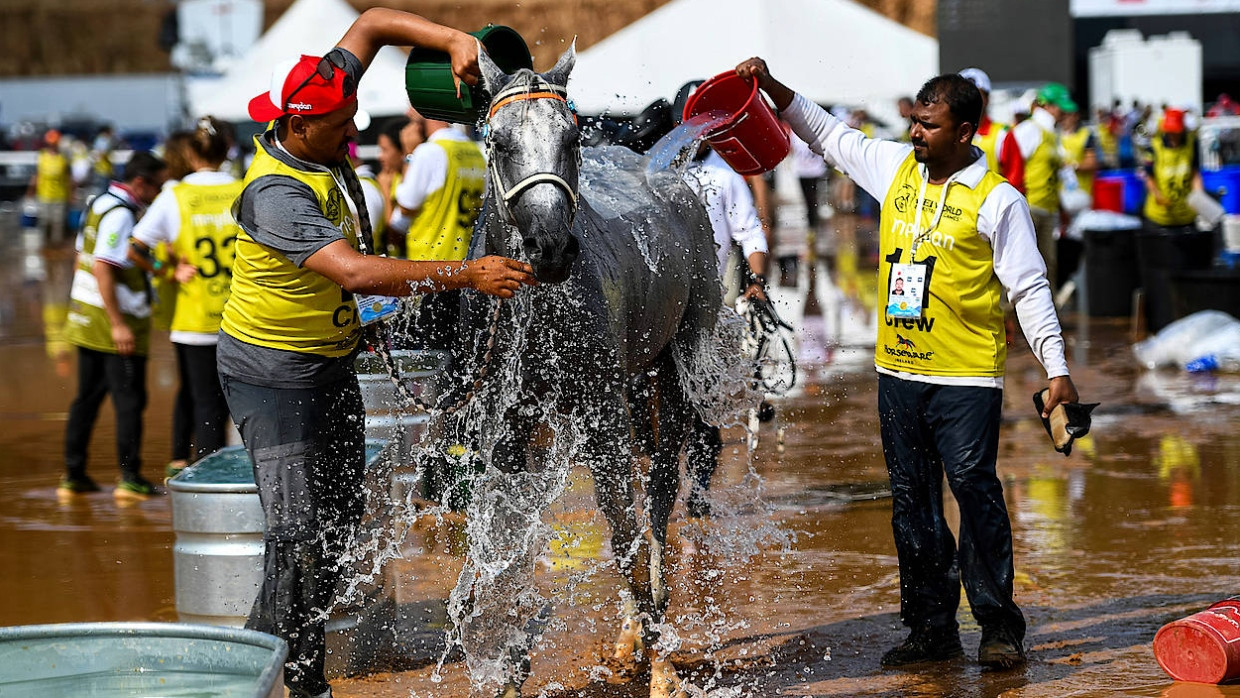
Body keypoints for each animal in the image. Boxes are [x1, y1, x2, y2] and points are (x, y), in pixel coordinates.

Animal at [436, 46, 724, 694]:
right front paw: (509, 664)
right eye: (497, 141)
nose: (549, 246)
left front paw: (661, 666)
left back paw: (647, 632)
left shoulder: (602, 414)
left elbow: (624, 536)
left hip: (672, 376)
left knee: (657, 504)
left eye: (571, 137)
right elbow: (508, 543)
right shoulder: (508, 430)